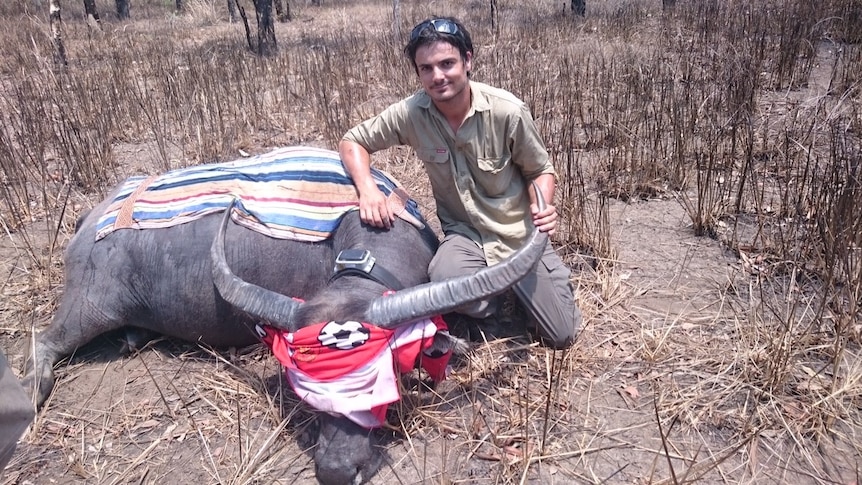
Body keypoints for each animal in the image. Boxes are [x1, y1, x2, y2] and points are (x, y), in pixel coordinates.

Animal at [23, 147, 552, 484]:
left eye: (380, 387)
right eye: (310, 398)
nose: (335, 472)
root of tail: (92, 217)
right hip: (90, 309)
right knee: (44, 343)